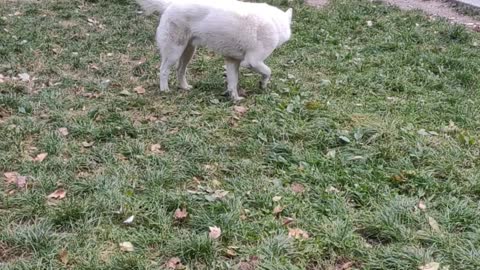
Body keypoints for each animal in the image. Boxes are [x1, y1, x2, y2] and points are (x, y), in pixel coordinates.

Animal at [135, 0, 292, 100]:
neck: (275, 23)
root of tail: (170, 4)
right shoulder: (251, 62)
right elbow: (268, 71)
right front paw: (263, 84)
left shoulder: (232, 61)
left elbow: (232, 84)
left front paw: (235, 99)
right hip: (174, 53)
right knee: (163, 70)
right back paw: (164, 89)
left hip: (188, 53)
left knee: (180, 70)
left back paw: (185, 87)